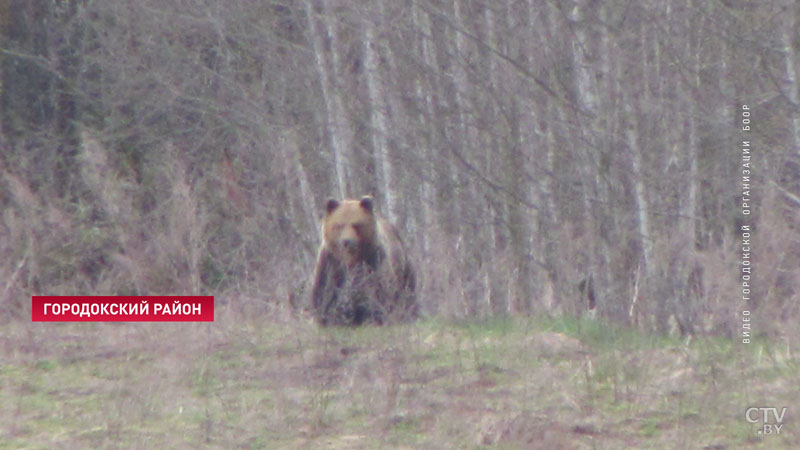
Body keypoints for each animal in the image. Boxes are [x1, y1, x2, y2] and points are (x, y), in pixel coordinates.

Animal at [308, 195, 416, 326]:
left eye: (356, 224)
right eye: (339, 225)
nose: (347, 241)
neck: (352, 260)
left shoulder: (373, 261)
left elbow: (378, 292)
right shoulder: (332, 263)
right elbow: (325, 293)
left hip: (404, 265)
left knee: (407, 292)